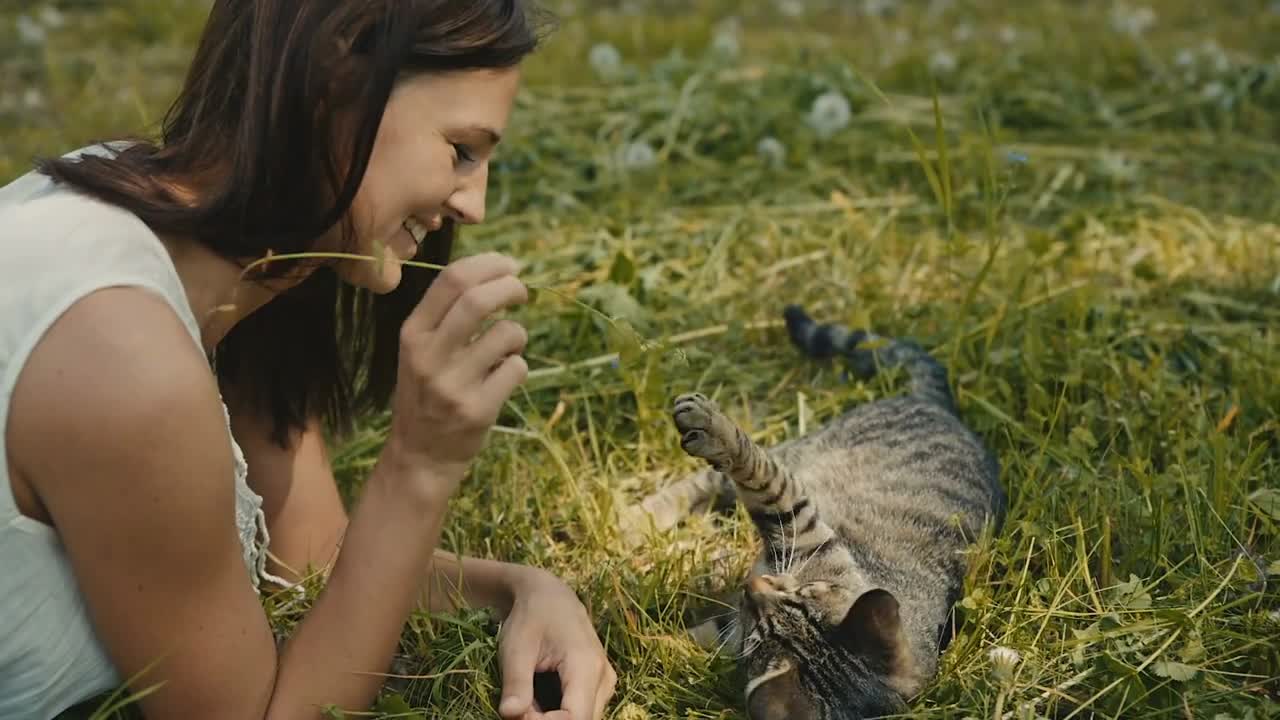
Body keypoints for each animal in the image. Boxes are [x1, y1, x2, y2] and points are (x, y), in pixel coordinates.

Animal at [629, 303, 1008, 717]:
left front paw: (641, 644)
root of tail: (942, 407)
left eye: (760, 635)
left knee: (723, 476)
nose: (754, 585)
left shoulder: (799, 526)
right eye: (808, 590)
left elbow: (760, 476)